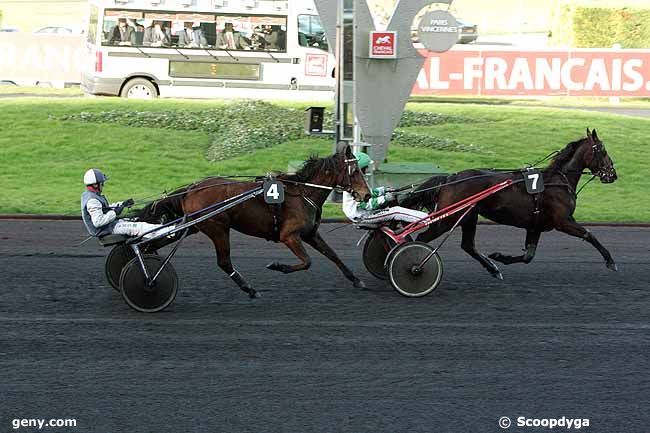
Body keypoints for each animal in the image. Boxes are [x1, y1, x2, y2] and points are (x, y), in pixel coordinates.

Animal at [137, 143, 370, 296]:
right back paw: (249, 288)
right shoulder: (289, 236)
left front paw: (357, 280)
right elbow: (307, 262)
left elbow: (333, 255)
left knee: (157, 242)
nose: (367, 194)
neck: (302, 193)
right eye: (356, 171)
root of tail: (193, 188)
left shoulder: (310, 234)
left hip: (195, 225)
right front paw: (277, 266)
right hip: (218, 227)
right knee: (224, 261)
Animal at [400, 128, 616, 278]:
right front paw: (610, 260)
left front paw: (500, 257)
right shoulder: (563, 221)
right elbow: (589, 234)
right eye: (603, 150)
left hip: (469, 216)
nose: (613, 175)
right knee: (422, 238)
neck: (557, 180)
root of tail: (450, 178)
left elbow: (528, 256)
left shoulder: (535, 225)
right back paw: (412, 266)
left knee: (467, 245)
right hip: (449, 218)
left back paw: (493, 268)